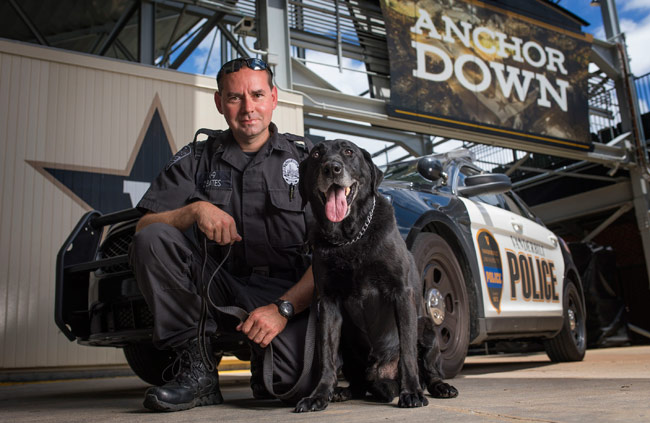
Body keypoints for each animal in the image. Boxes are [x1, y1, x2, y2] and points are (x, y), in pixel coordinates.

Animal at [294, 141, 456, 412]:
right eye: (316, 154)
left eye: (348, 152)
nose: (331, 168)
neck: (350, 238)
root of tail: (379, 373)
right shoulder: (327, 303)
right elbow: (326, 356)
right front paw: (318, 395)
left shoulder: (401, 293)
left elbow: (408, 353)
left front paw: (411, 393)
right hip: (348, 342)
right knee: (358, 383)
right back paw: (342, 392)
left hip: (427, 328)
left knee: (430, 369)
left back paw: (439, 387)